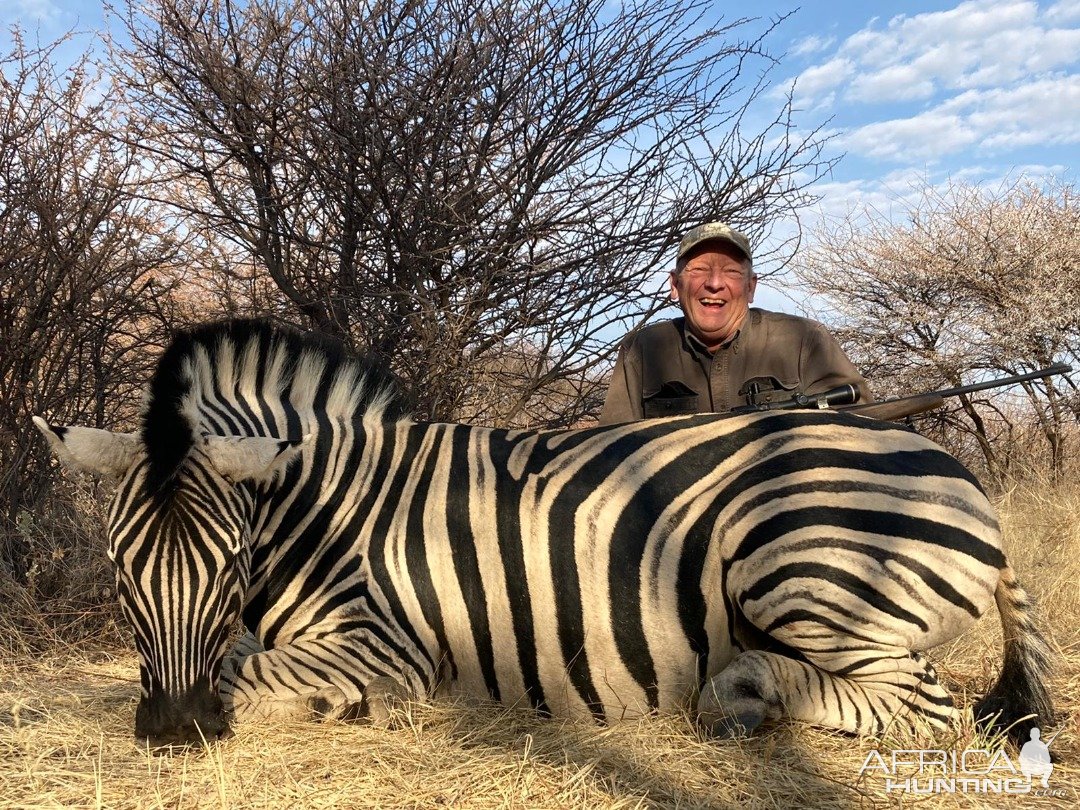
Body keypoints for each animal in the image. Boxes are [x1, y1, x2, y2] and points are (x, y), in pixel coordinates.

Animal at [33, 319, 1054, 747]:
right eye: (120, 568)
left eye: (232, 560)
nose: (174, 731)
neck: (324, 510)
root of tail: (965, 480)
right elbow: (241, 656)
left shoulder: (391, 645)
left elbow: (251, 670)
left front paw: (339, 706)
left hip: (798, 566)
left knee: (930, 709)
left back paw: (744, 694)